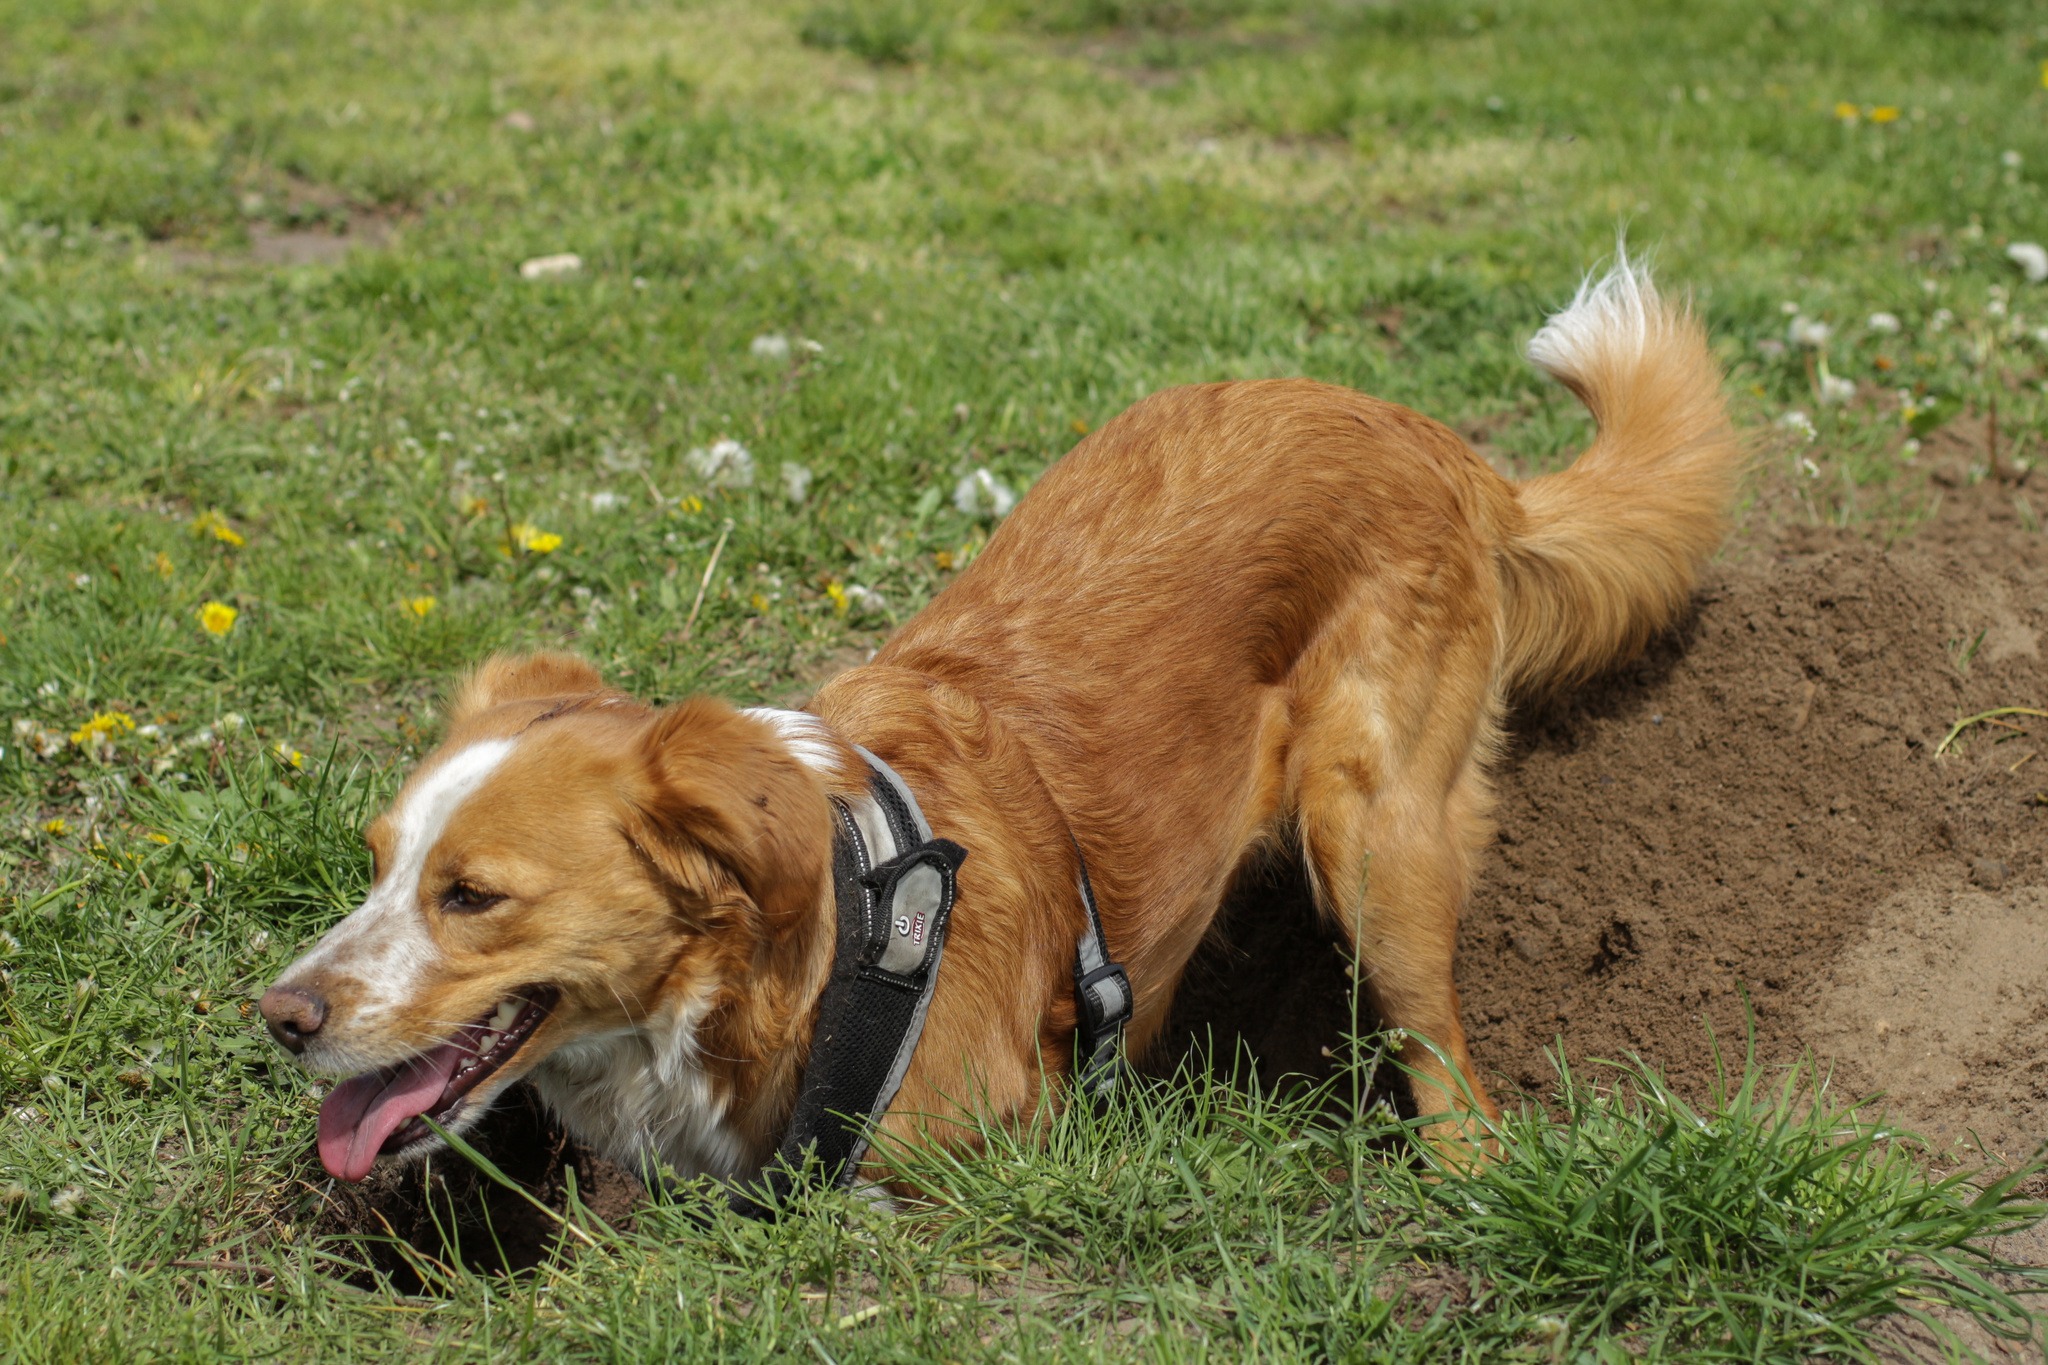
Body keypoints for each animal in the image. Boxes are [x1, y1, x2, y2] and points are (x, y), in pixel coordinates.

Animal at [260, 253, 1744, 1186]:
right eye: (375, 866)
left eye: (473, 895)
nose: (277, 1013)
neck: (825, 944)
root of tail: (1444, 445)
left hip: (1375, 830)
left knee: (1441, 1053)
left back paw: (1462, 1172)